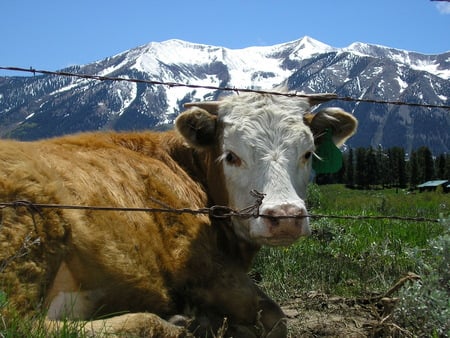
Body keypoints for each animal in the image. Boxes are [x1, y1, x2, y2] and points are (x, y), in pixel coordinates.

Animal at [0, 91, 358, 336]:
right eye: (231, 155)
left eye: (308, 153)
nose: (284, 215)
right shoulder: (201, 266)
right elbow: (275, 317)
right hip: (27, 242)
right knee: (22, 325)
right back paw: (180, 323)